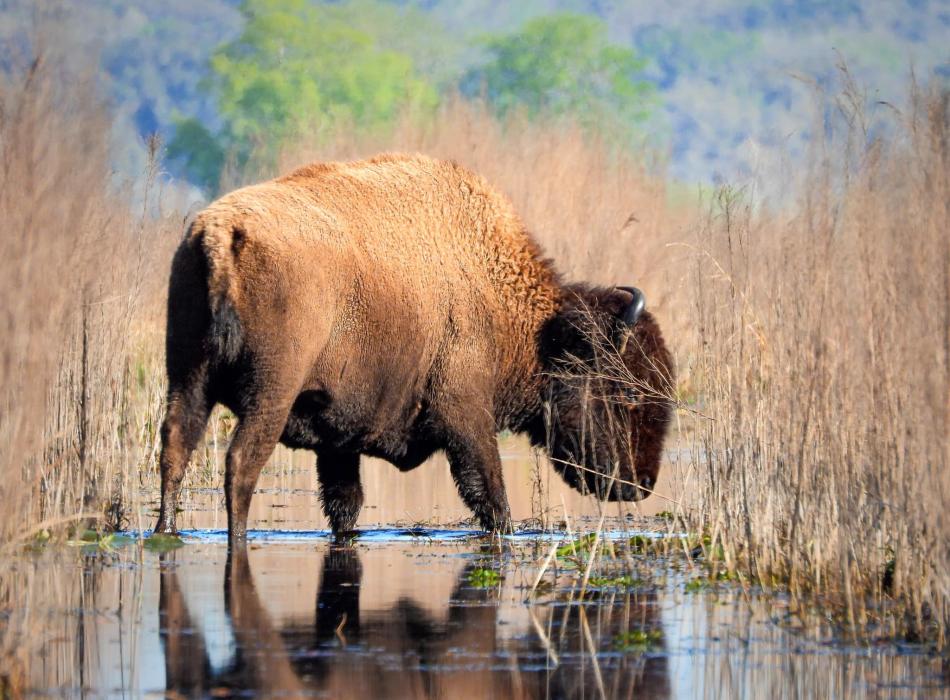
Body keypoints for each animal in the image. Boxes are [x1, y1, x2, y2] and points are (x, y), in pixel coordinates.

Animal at [154, 152, 676, 536]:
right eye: (628, 393)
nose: (642, 483)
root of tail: (221, 232)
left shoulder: (336, 438)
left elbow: (345, 504)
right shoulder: (466, 415)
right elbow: (490, 495)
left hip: (187, 380)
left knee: (175, 449)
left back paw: (166, 532)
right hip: (270, 394)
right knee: (241, 463)